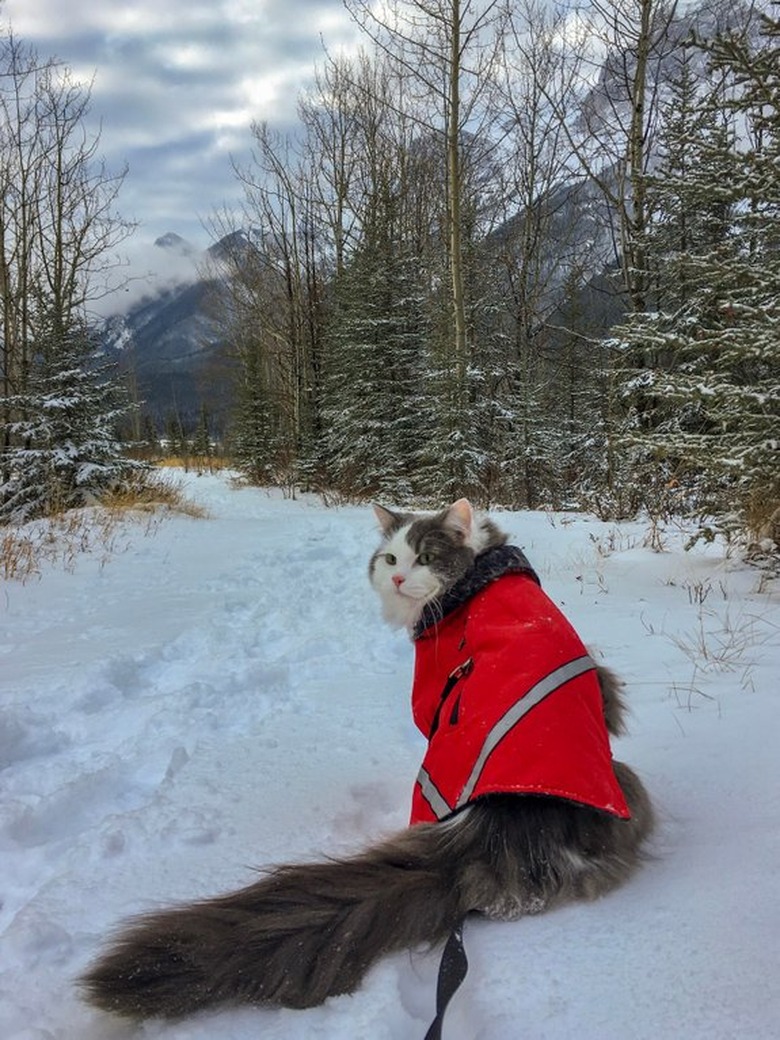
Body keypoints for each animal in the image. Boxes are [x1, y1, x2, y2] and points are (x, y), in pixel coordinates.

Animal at [81, 499, 653, 1019]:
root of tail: (492, 833)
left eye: (425, 558)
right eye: (390, 558)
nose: (397, 578)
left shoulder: (431, 700)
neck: (479, 577)